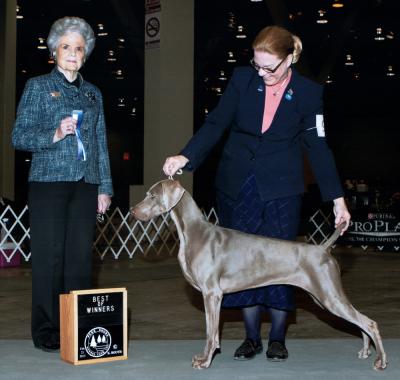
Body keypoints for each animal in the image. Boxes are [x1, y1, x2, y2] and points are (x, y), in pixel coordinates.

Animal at [131, 180, 388, 370]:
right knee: (360, 322)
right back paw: (366, 351)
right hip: (324, 297)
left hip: (328, 295)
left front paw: (204, 361)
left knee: (370, 322)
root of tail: (323, 248)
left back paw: (380, 361)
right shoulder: (211, 295)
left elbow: (210, 331)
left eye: (152, 196)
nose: (132, 212)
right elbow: (212, 331)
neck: (194, 232)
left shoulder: (212, 294)